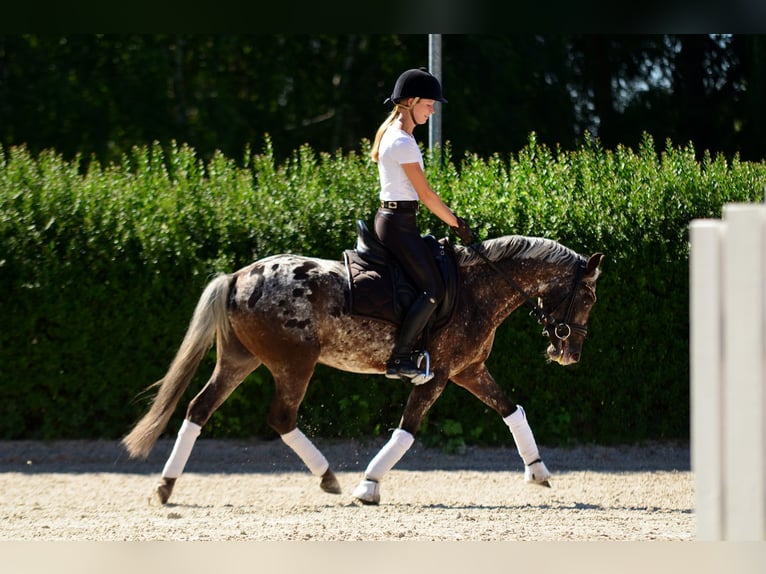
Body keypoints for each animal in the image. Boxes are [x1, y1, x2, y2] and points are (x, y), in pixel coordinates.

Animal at [122, 227, 604, 506]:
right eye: (588, 296)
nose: (571, 354)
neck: (475, 288)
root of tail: (238, 276)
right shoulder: (439, 374)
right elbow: (407, 429)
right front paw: (368, 484)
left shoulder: (469, 370)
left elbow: (510, 410)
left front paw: (538, 470)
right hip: (294, 363)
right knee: (281, 417)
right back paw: (330, 477)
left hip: (240, 360)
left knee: (199, 410)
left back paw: (166, 486)